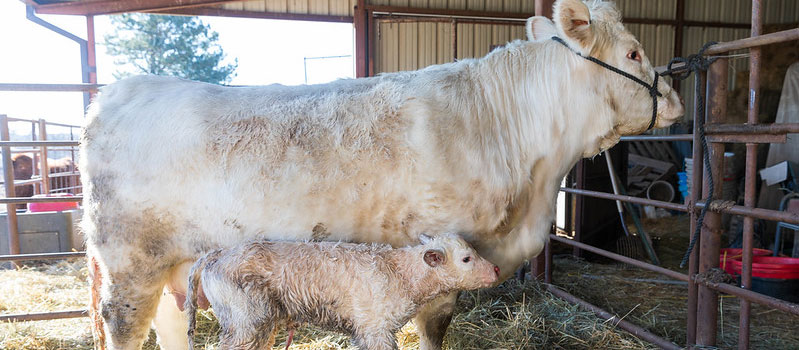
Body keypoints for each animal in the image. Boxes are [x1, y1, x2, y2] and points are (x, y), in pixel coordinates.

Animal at [188, 235, 500, 350]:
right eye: (466, 259)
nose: (496, 269)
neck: (401, 273)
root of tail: (216, 255)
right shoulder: (375, 329)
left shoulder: (367, 331)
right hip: (243, 321)